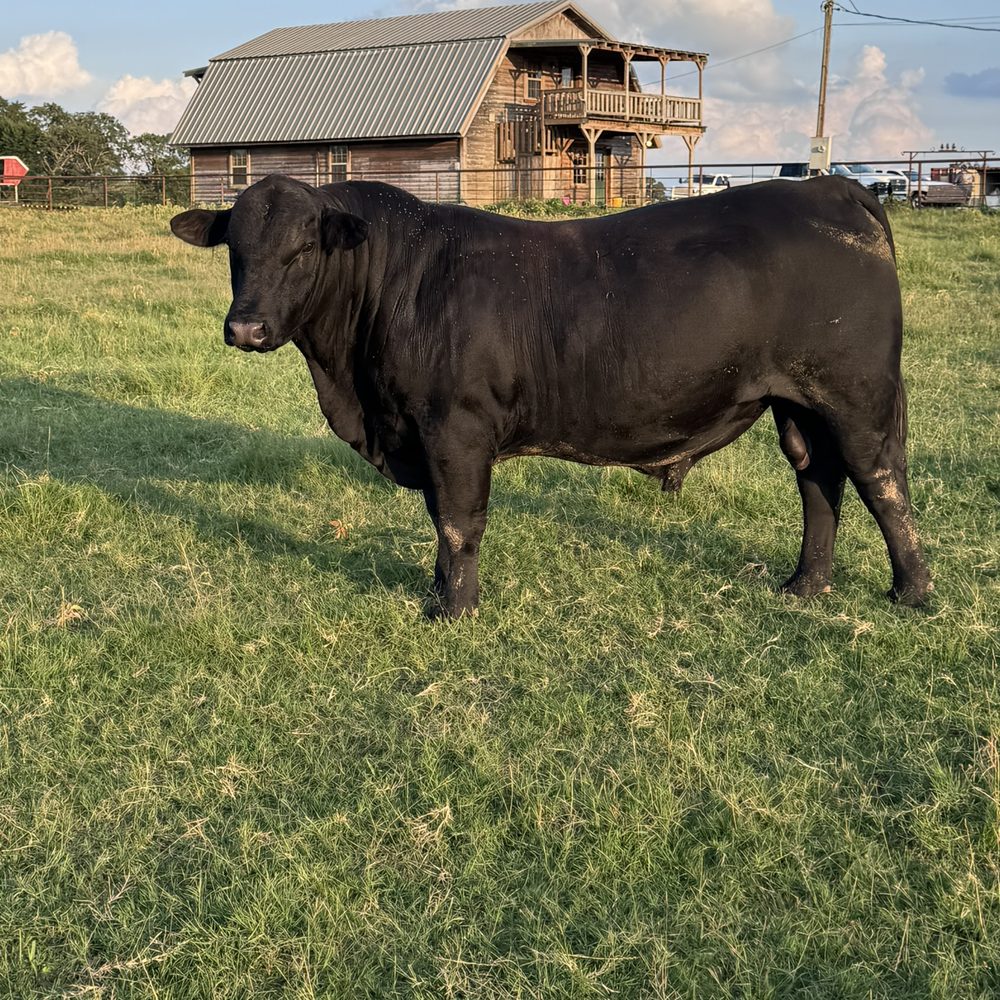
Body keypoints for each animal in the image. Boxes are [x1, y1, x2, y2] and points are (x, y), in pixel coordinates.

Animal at [170, 174, 932, 618]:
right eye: (236, 249)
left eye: (302, 249)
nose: (245, 327)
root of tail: (834, 187)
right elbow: (439, 521)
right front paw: (437, 591)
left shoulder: (455, 429)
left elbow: (459, 522)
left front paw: (454, 610)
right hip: (796, 402)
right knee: (818, 479)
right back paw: (806, 585)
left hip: (855, 395)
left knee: (882, 482)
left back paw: (911, 591)